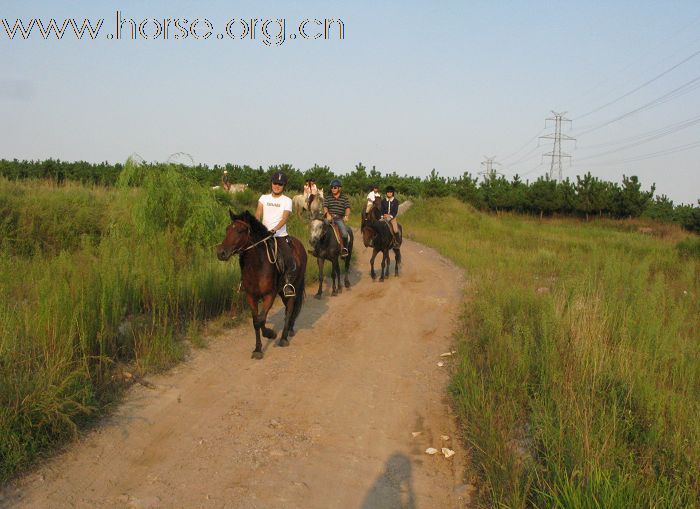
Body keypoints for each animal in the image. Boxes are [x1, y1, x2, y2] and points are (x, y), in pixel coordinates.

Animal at [217, 209, 308, 358]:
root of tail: (300, 245)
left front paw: (271, 334)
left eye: (240, 231)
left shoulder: (269, 295)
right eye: (227, 229)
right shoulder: (251, 296)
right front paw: (258, 349)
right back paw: (288, 330)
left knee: (290, 308)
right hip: (282, 291)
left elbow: (261, 320)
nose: (221, 253)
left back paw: (283, 338)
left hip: (295, 285)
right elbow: (256, 322)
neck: (257, 266)